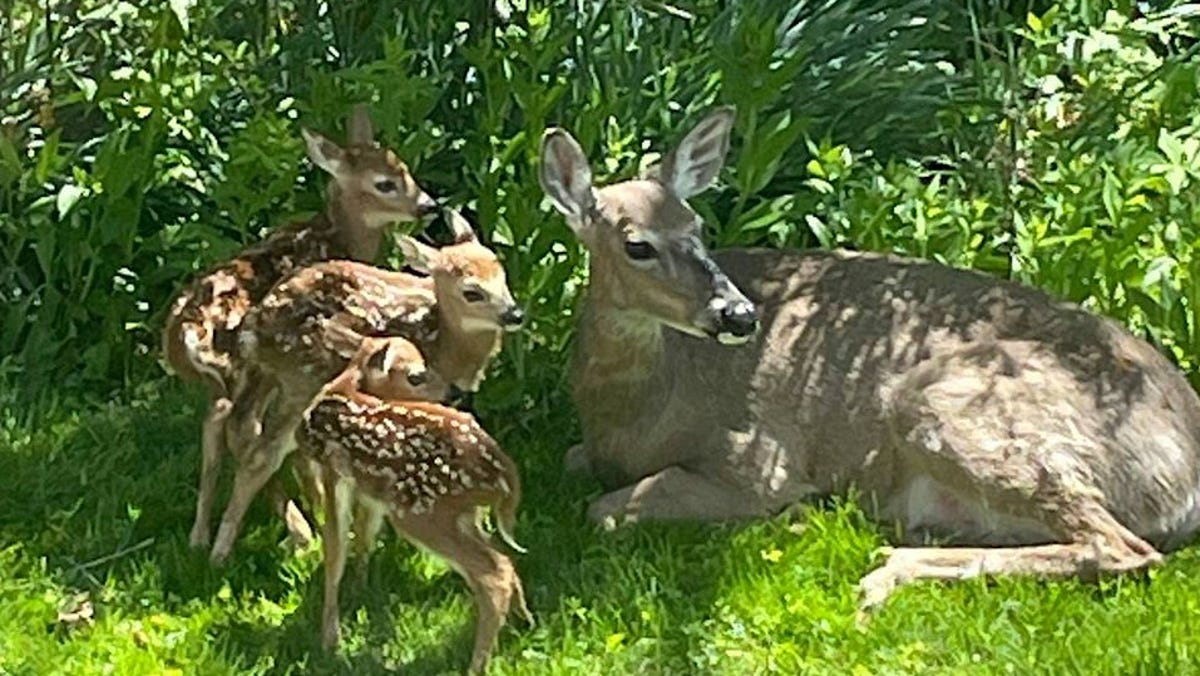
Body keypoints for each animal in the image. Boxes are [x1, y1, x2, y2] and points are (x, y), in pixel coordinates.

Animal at [165, 104, 438, 552]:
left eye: (406, 169)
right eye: (384, 183)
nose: (429, 206)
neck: (339, 235)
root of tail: (183, 334)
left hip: (225, 380)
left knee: (216, 427)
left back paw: (201, 536)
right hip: (248, 371)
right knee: (242, 429)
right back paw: (297, 528)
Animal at [205, 210, 524, 564]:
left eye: (502, 274)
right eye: (472, 291)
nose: (515, 314)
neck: (444, 342)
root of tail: (255, 325)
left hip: (268, 377)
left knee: (237, 423)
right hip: (301, 381)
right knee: (261, 455)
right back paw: (227, 551)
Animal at [298, 334, 531, 673]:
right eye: (416, 375)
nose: (454, 392)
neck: (345, 385)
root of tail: (506, 475)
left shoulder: (334, 474)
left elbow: (335, 550)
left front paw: (330, 640)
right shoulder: (372, 495)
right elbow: (364, 536)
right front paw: (360, 590)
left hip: (421, 513)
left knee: (494, 572)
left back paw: (476, 664)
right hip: (460, 512)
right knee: (502, 559)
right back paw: (523, 620)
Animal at [538, 106, 1200, 612]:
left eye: (697, 226)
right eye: (637, 245)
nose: (740, 314)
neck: (634, 415)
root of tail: (1185, 464)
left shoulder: (758, 460)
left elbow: (607, 508)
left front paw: (791, 514)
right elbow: (575, 467)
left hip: (948, 400)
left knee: (1122, 546)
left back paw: (882, 569)